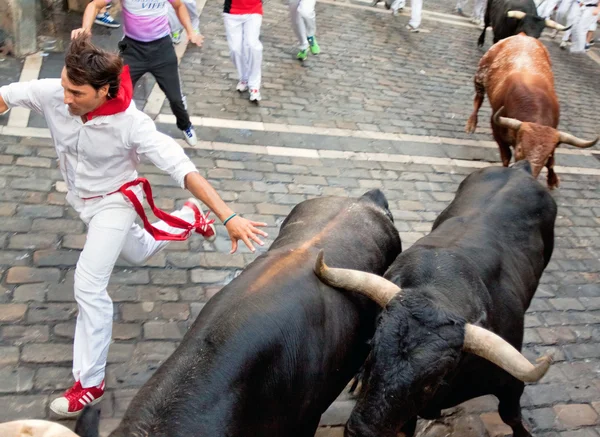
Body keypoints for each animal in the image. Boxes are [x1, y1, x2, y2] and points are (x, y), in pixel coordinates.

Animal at [316, 162, 556, 436]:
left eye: (431, 381)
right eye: (372, 350)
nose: (361, 431)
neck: (440, 290)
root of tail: (519, 168)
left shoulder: (512, 384)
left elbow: (512, 417)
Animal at [466, 33, 596, 187]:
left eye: (546, 156)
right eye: (520, 149)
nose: (527, 174)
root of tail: (522, 35)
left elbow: (552, 163)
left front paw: (552, 180)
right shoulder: (497, 130)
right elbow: (506, 156)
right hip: (480, 76)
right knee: (478, 99)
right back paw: (471, 123)